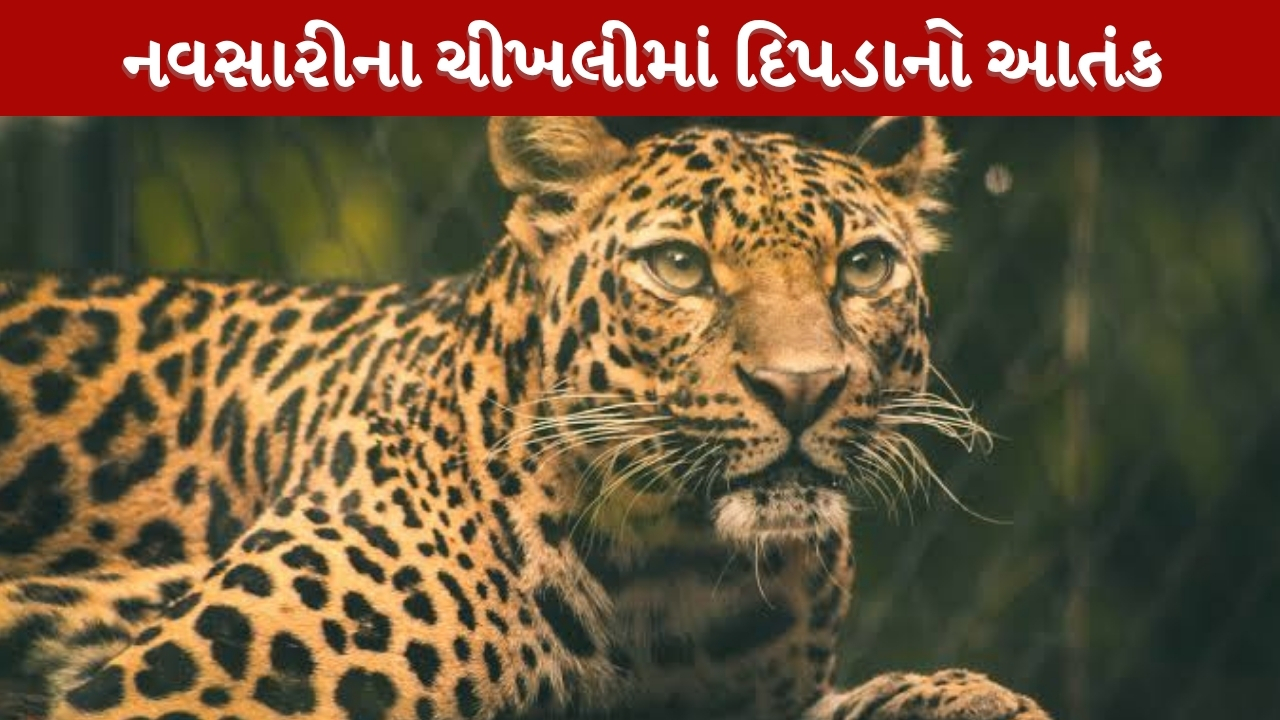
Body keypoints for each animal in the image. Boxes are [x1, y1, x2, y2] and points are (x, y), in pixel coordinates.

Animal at [0, 116, 1052, 720]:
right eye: (680, 267)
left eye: (864, 268)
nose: (802, 388)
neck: (673, 573)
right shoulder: (189, 687)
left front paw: (966, 696)